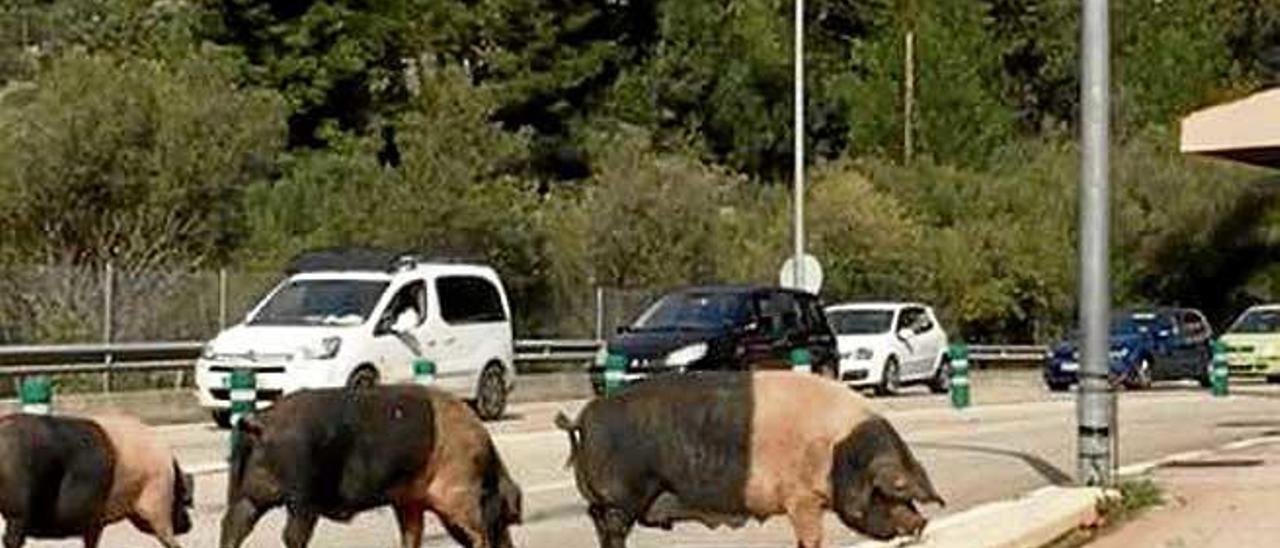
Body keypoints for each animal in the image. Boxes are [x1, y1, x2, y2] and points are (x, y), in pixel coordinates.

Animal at [220, 384, 519, 548]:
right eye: (505, 516)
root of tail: (261, 423)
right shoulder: (457, 492)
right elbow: (477, 532)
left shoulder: (408, 501)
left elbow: (413, 534)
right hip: (303, 495)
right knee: (291, 535)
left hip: (244, 492)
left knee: (232, 526)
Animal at [555, 371, 947, 545]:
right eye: (889, 489)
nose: (921, 523)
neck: (840, 452)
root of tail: (584, 417)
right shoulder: (801, 497)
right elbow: (811, 539)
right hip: (621, 496)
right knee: (611, 527)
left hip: (610, 500)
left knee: (596, 520)